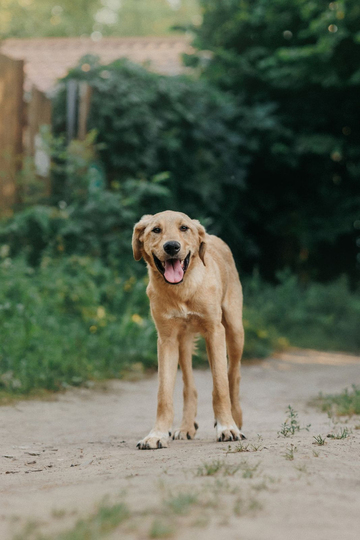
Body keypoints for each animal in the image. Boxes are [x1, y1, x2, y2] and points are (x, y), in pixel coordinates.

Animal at [132, 209, 245, 450]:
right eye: (156, 230)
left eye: (184, 228)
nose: (172, 247)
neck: (182, 290)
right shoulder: (166, 340)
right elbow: (164, 394)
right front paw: (156, 435)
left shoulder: (215, 331)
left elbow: (220, 386)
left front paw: (227, 427)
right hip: (183, 343)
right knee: (189, 387)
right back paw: (186, 427)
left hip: (234, 330)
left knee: (233, 375)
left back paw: (236, 418)